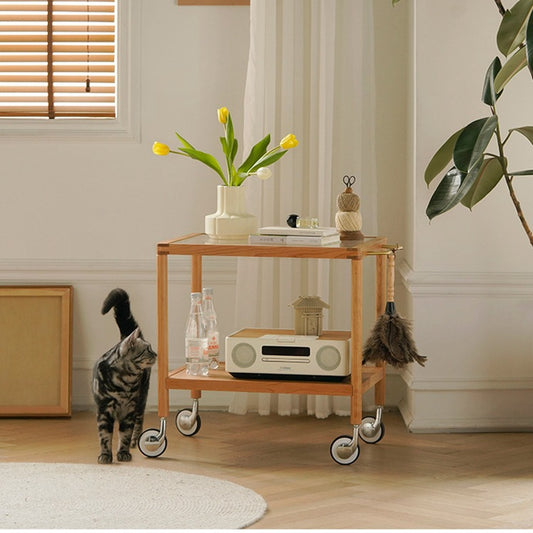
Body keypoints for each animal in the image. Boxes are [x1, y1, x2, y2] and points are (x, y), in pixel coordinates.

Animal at [92, 286, 156, 462]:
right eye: (148, 349)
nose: (156, 354)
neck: (125, 383)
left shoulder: (129, 411)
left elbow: (125, 434)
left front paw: (123, 453)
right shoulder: (104, 410)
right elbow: (105, 436)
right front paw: (105, 455)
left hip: (141, 399)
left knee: (139, 421)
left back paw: (135, 441)